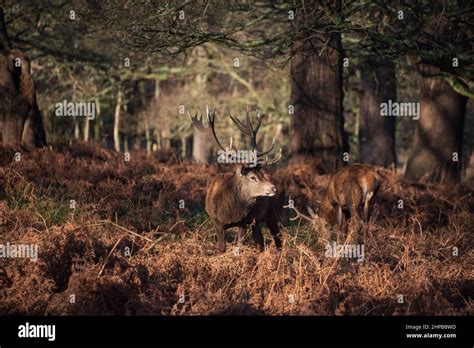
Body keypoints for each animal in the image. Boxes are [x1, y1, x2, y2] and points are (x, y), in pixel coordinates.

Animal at [190, 107, 286, 251]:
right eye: (252, 177)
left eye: (262, 174)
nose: (274, 188)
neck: (230, 212)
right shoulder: (217, 222)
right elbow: (222, 248)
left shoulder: (243, 222)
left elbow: (239, 246)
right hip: (257, 223)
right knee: (260, 242)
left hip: (272, 214)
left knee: (278, 239)